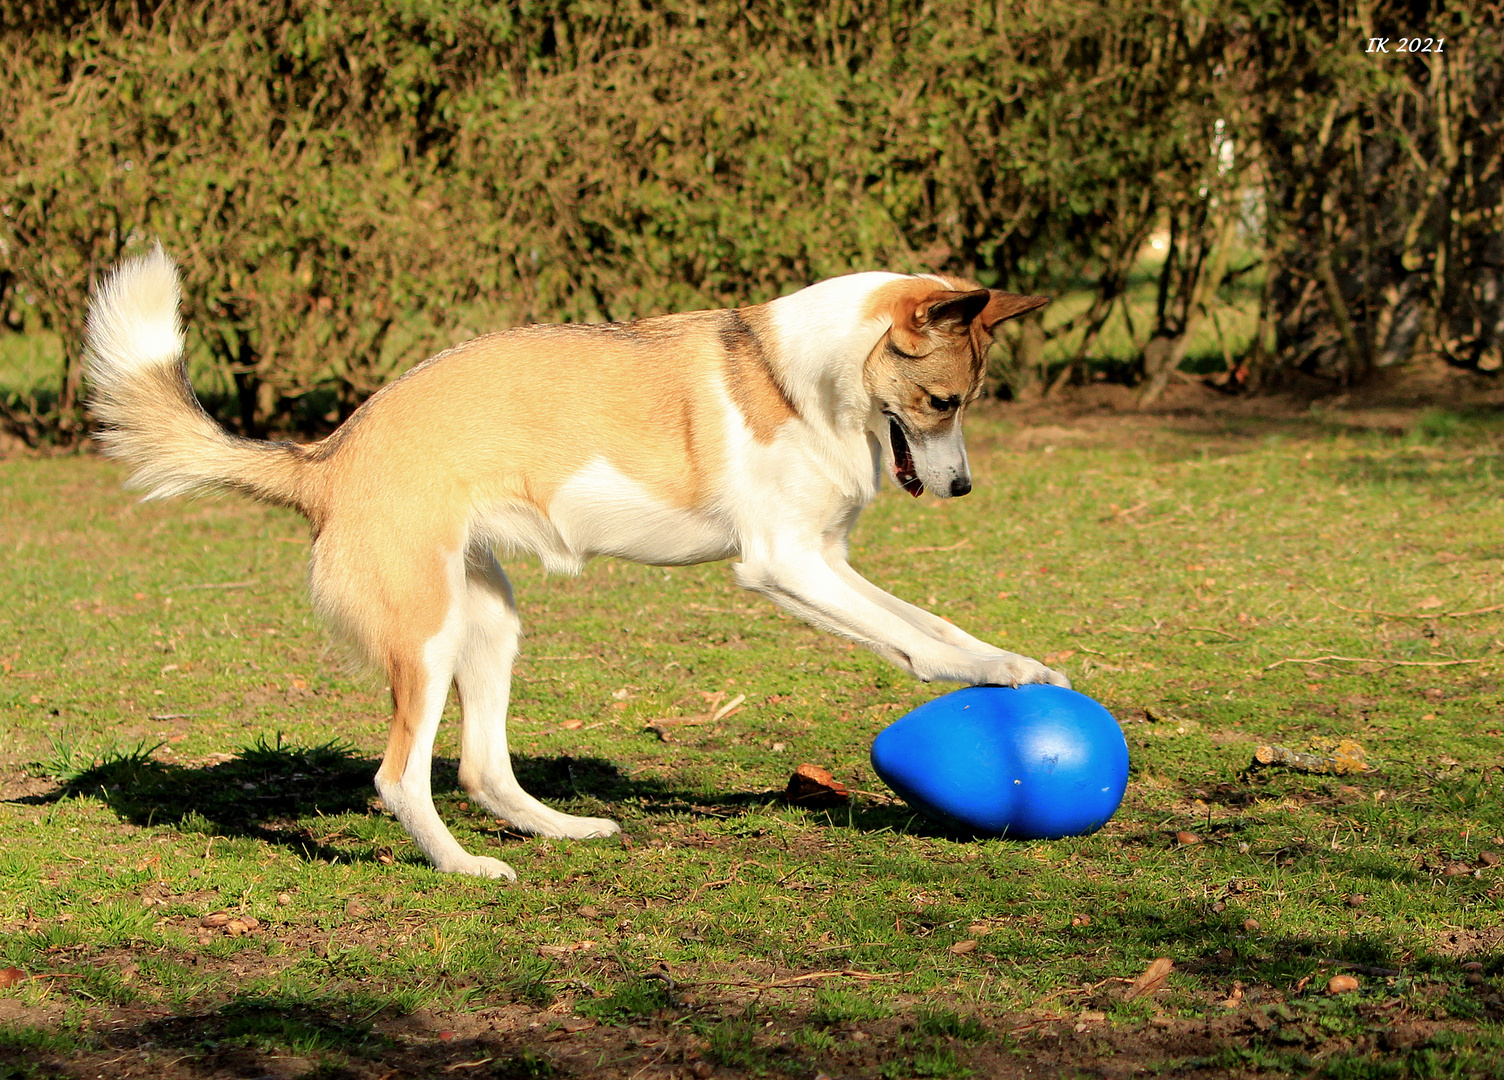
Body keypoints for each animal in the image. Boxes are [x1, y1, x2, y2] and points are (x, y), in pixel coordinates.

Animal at [82, 249, 1070, 884]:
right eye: (943, 401)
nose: (963, 487)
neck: (797, 379)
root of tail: (327, 456)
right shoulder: (787, 566)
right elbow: (919, 640)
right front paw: (1002, 673)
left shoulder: (825, 560)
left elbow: (927, 621)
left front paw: (1014, 662)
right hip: (427, 636)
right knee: (401, 777)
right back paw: (464, 867)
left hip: (488, 619)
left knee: (481, 769)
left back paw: (563, 828)